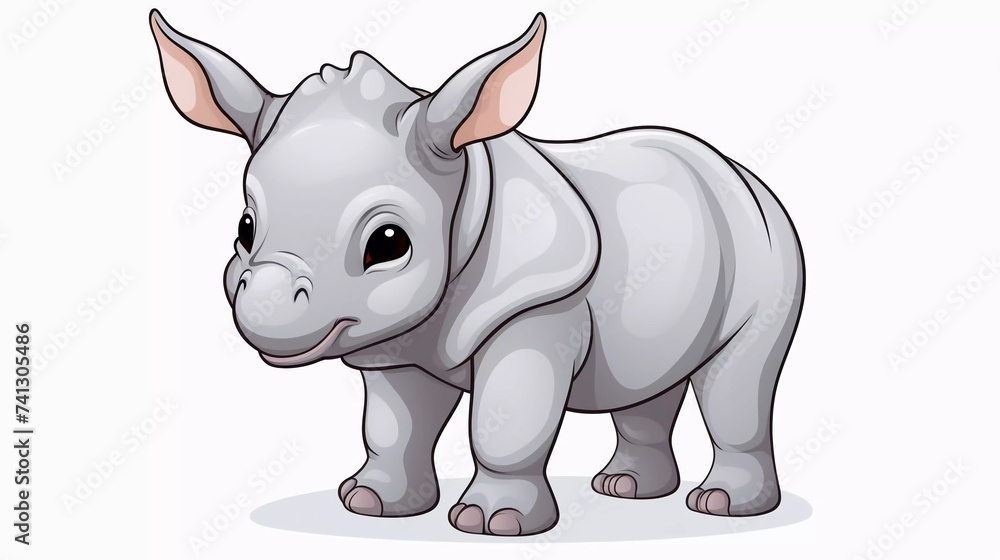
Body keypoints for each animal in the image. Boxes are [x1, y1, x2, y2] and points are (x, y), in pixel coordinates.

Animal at [150, 9, 805, 537]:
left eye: (388, 242)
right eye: (244, 230)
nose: (265, 306)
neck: (463, 194)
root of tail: (739, 170)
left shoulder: (536, 307)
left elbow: (505, 424)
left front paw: (494, 523)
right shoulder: (393, 342)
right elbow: (393, 426)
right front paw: (371, 504)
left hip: (770, 240)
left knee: (737, 381)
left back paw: (720, 505)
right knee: (650, 377)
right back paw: (628, 491)